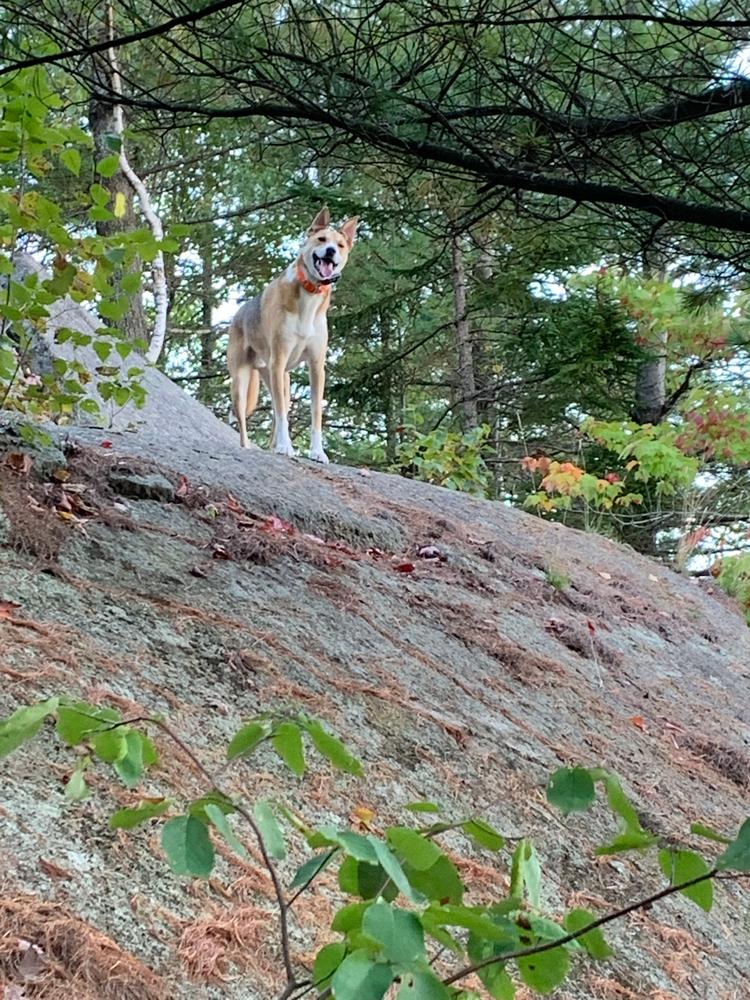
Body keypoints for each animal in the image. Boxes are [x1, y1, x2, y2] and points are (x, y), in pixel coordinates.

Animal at [226, 210, 358, 464]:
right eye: (321, 240)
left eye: (340, 245)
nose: (330, 251)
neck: (310, 292)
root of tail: (237, 315)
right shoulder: (278, 360)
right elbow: (280, 415)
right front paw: (285, 447)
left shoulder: (316, 366)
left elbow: (315, 414)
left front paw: (317, 452)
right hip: (242, 380)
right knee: (248, 419)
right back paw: (250, 447)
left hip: (280, 380)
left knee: (278, 410)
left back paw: (272, 446)